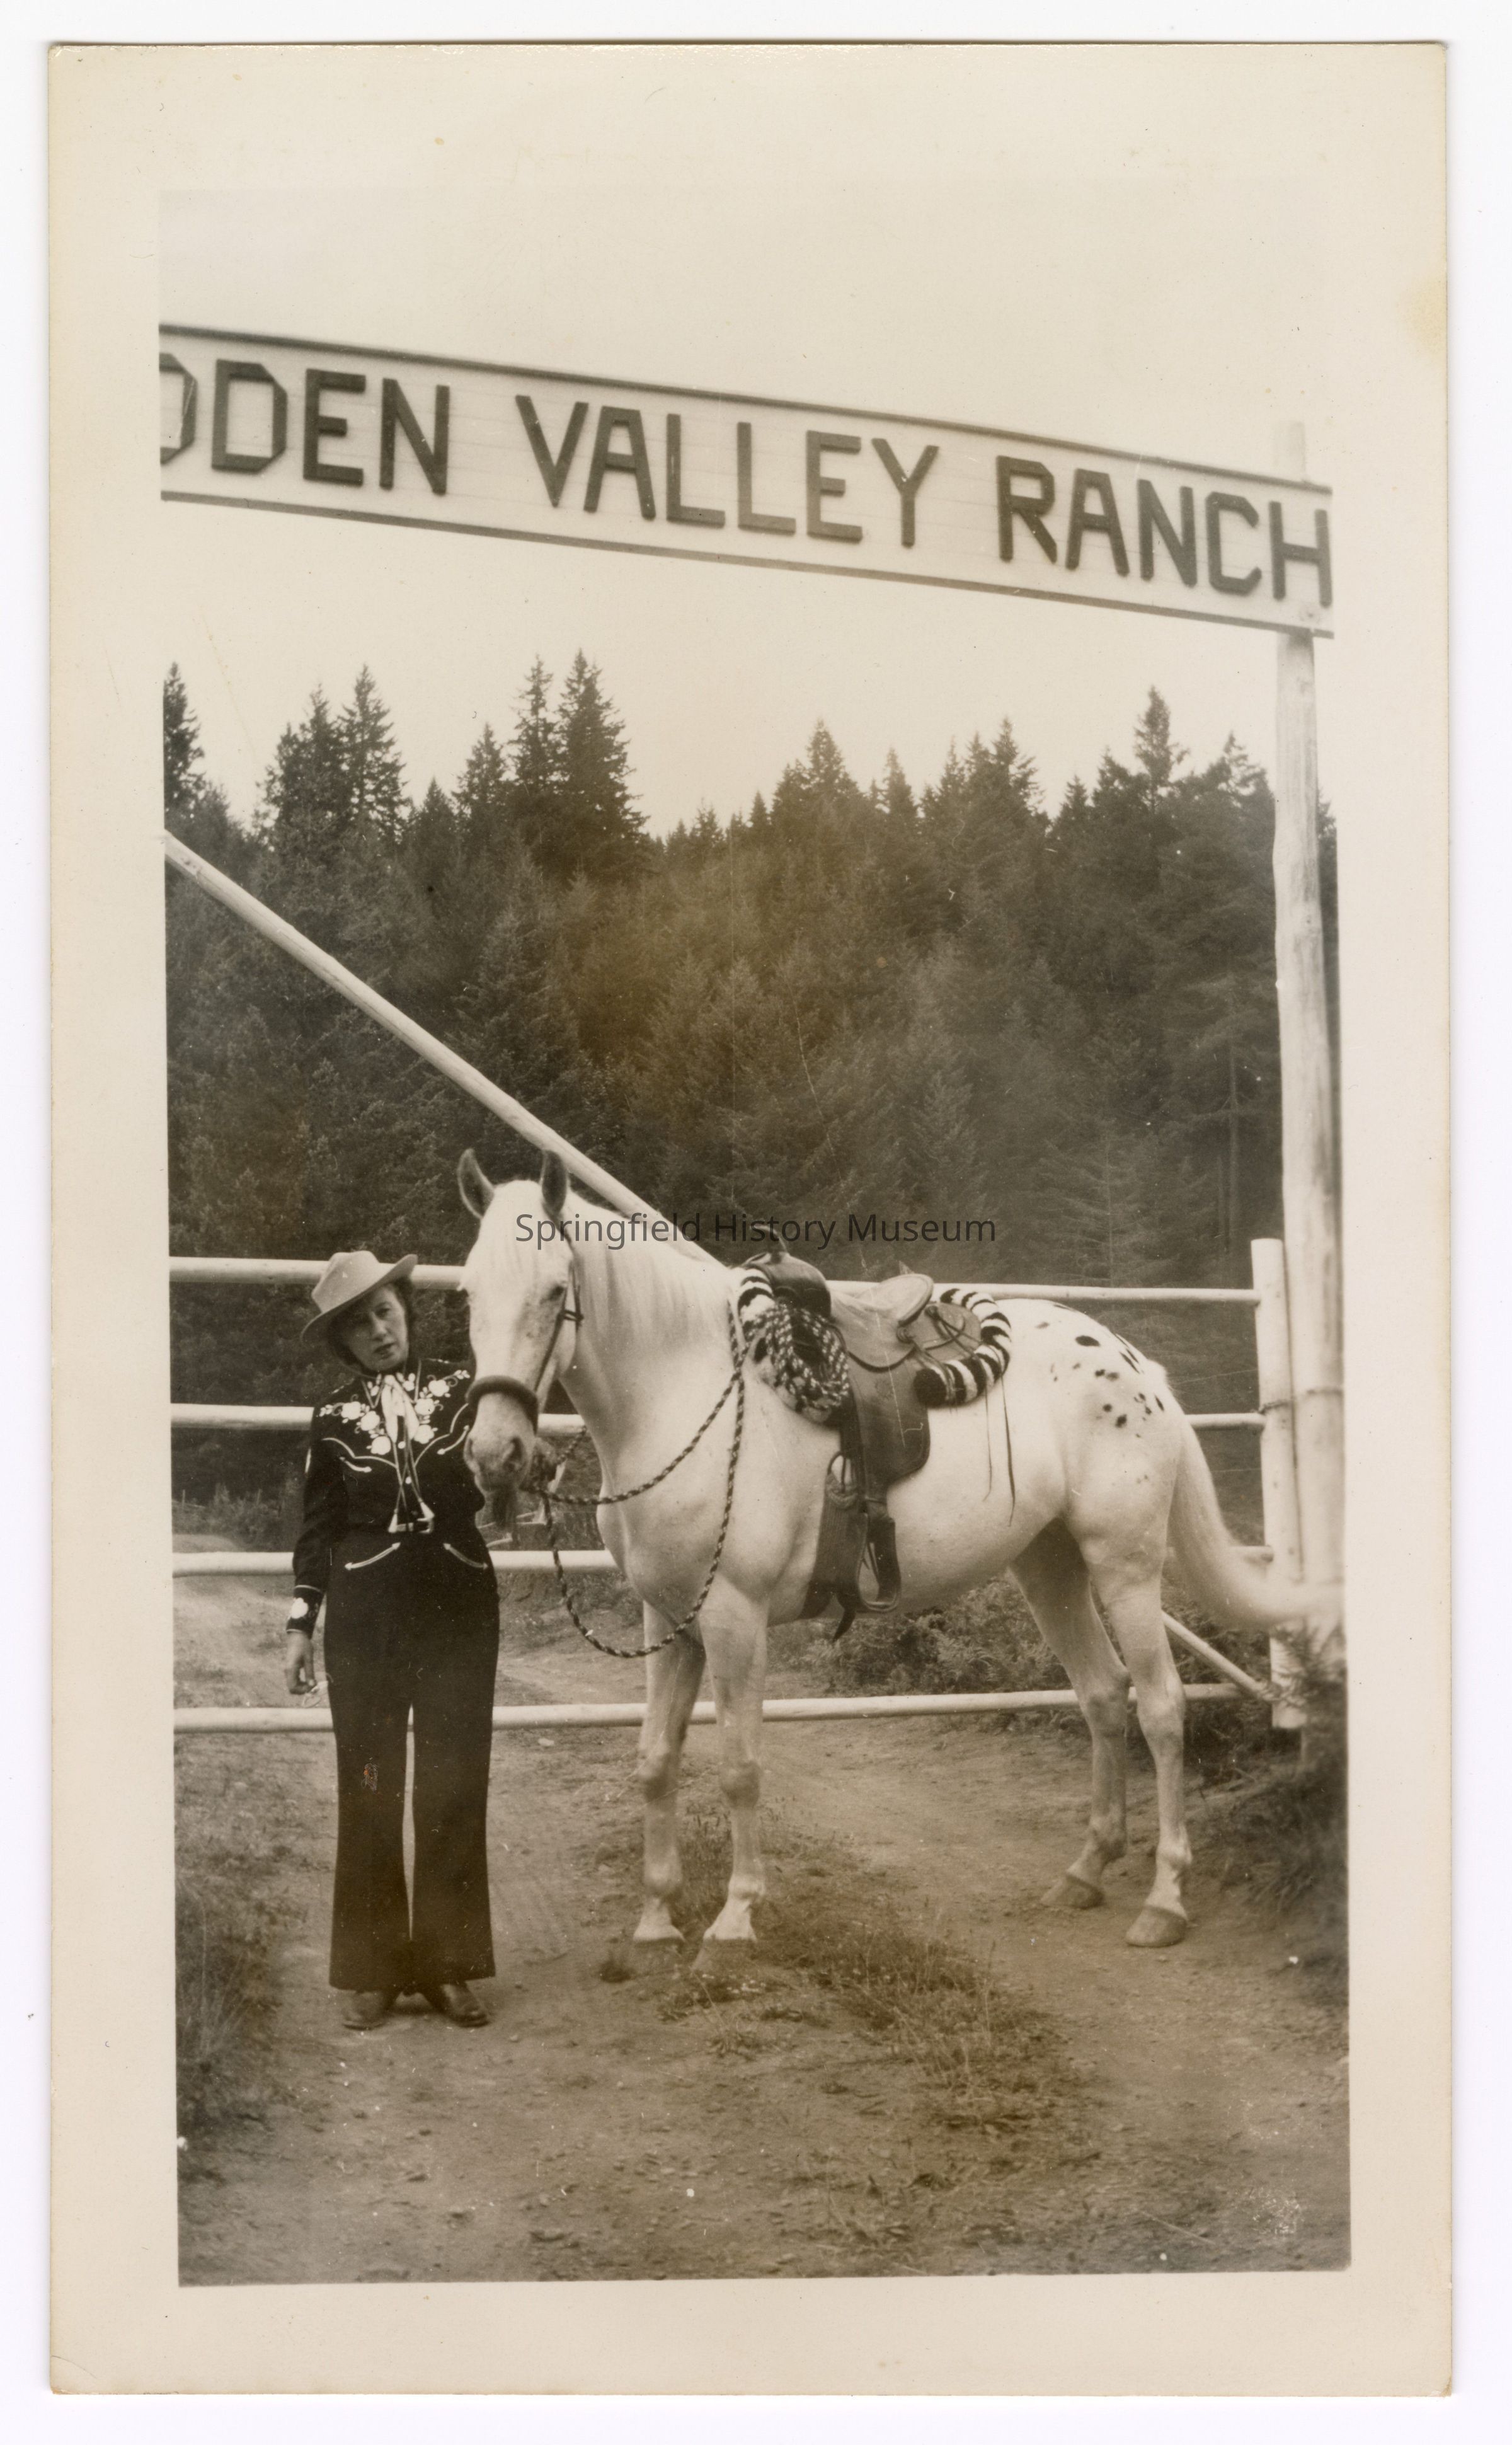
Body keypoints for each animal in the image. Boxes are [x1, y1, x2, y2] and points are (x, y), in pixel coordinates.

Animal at [457, 1151, 1336, 1954]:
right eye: (467, 1290)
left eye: (554, 1290)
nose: (497, 1454)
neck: (685, 1392)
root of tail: (1134, 1364)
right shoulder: (668, 1616)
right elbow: (654, 1759)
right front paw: (655, 1918)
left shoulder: (735, 1618)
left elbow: (740, 1764)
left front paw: (736, 1917)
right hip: (1049, 1566)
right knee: (1101, 1693)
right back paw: (1086, 1872)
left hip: (1124, 1565)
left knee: (1160, 1706)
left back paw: (1164, 1900)